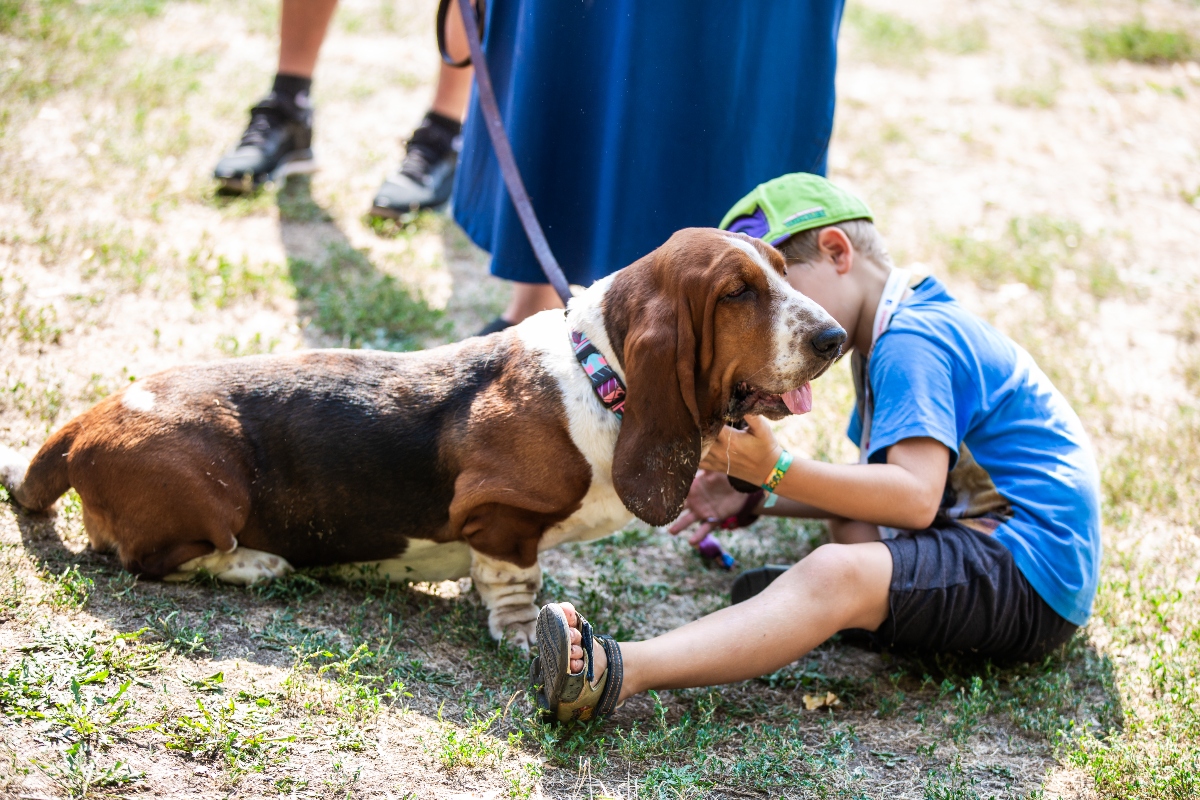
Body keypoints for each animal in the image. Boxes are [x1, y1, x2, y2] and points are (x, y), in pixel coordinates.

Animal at [0, 227, 844, 647]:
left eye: (783, 269)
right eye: (736, 293)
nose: (836, 338)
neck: (601, 374)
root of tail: (85, 421)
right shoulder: (501, 517)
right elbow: (513, 578)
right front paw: (519, 633)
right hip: (212, 488)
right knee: (151, 559)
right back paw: (256, 564)